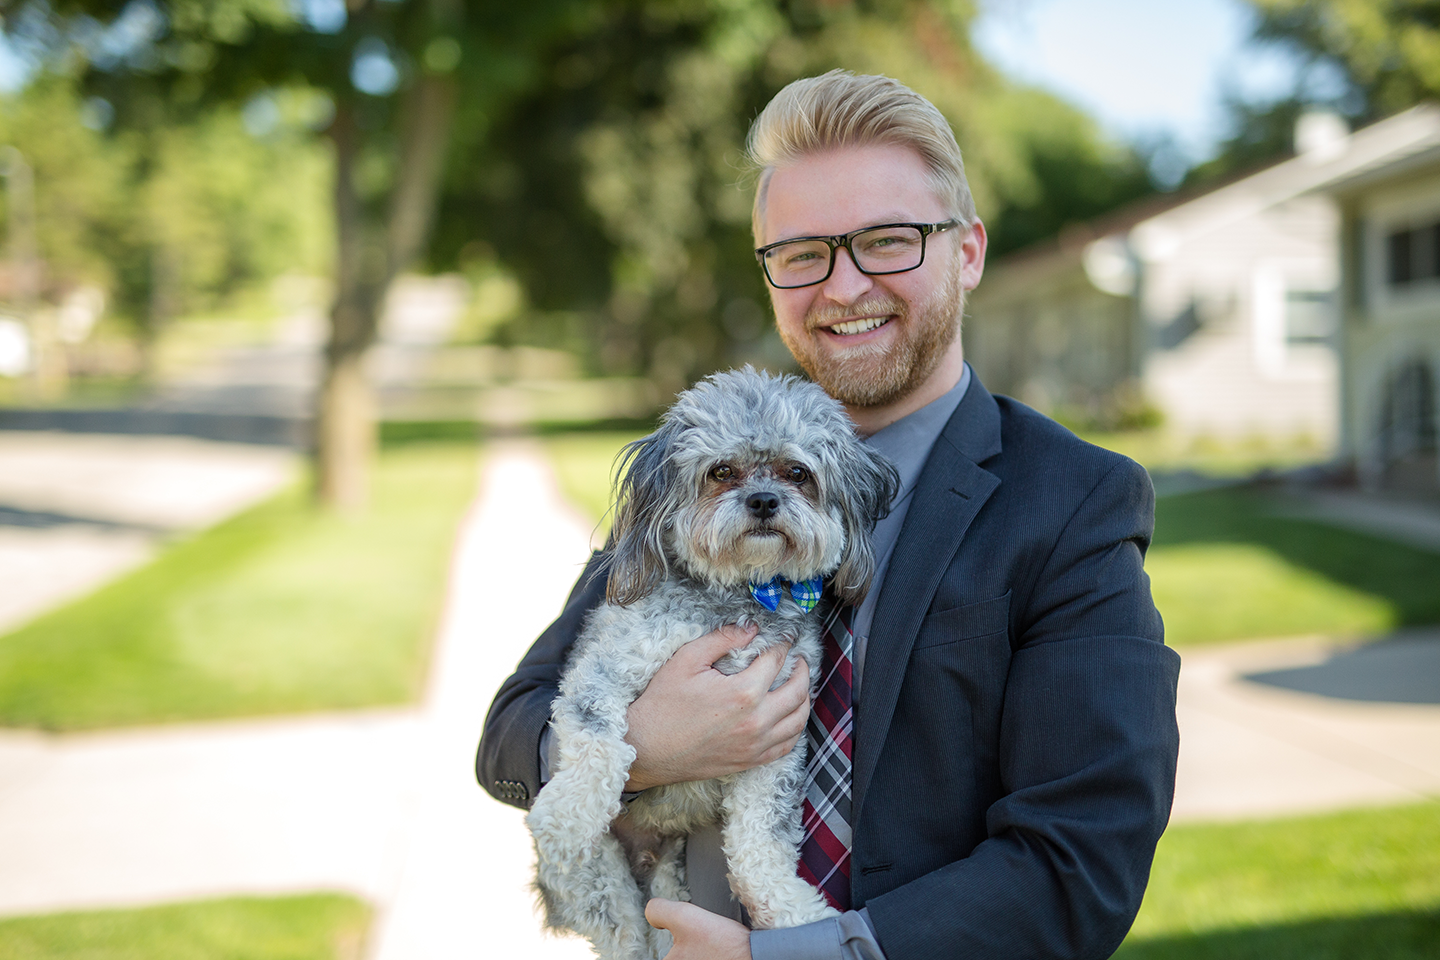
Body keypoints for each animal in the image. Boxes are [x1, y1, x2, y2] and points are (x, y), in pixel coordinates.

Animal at [524, 368, 892, 960]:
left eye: (798, 473)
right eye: (722, 471)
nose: (763, 500)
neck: (742, 592)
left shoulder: (777, 738)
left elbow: (759, 839)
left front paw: (794, 914)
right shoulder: (601, 673)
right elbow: (599, 743)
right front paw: (566, 815)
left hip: (668, 873)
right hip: (599, 888)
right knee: (623, 930)